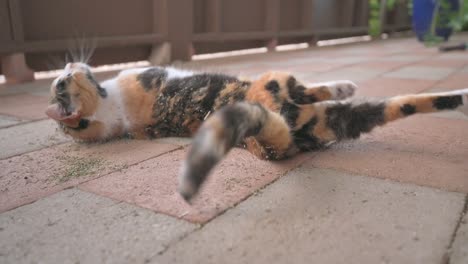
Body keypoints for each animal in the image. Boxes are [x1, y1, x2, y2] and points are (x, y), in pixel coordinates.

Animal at [44, 62, 468, 202]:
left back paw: (462, 96)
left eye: (63, 78)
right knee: (302, 88)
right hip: (274, 83)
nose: (68, 66)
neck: (115, 113)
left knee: (406, 103)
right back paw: (343, 86)